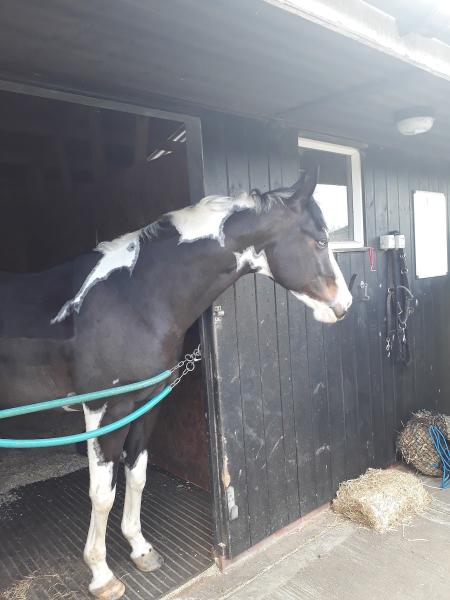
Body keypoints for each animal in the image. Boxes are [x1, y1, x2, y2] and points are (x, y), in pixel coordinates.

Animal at [0, 169, 352, 600]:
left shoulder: (146, 404)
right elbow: (102, 494)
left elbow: (137, 475)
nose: (344, 305)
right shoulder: (105, 411)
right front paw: (102, 575)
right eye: (320, 240)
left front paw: (140, 549)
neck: (134, 299)